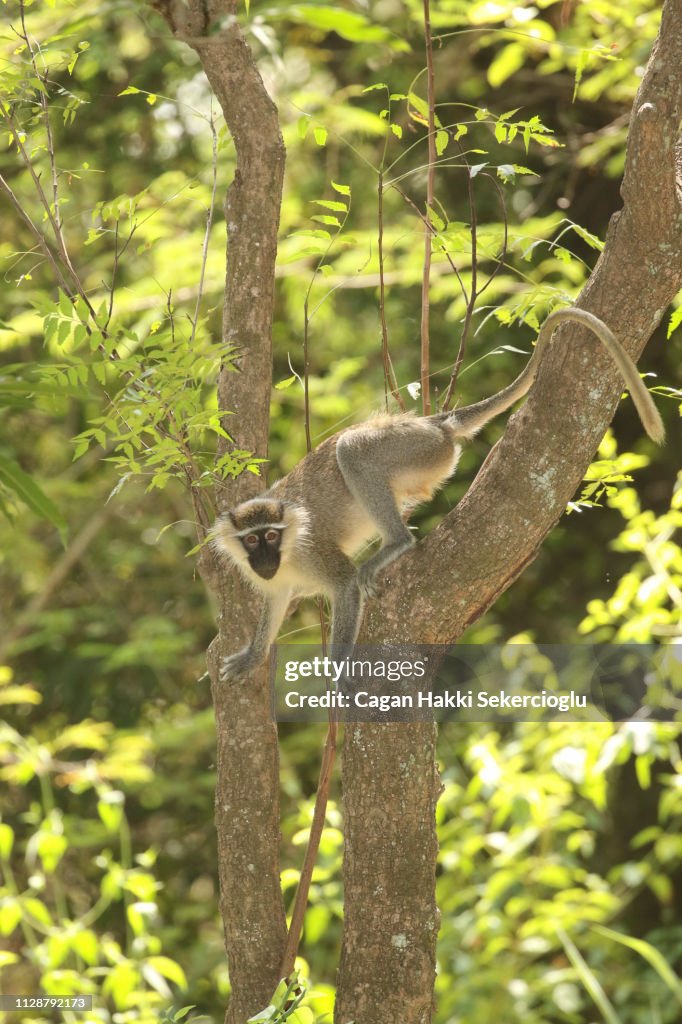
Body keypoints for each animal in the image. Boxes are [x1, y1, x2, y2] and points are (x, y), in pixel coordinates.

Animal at [212, 308, 664, 680]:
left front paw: (338, 676)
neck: (288, 555)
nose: (264, 559)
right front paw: (253, 656)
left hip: (414, 446)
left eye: (272, 536)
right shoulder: (275, 581)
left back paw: (396, 542)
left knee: (351, 450)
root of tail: (436, 422)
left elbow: (344, 586)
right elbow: (275, 602)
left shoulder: (316, 556)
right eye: (252, 540)